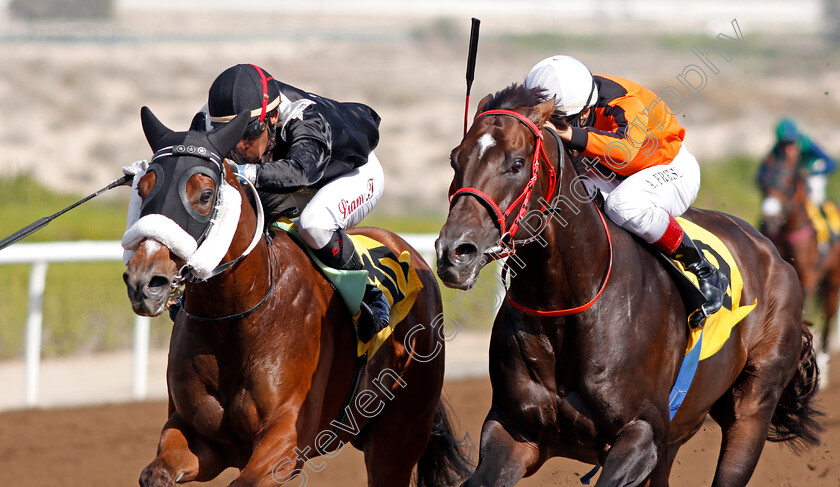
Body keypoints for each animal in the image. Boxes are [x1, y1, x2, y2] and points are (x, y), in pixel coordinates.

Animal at [123, 107, 472, 487]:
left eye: (204, 194)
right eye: (143, 188)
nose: (145, 281)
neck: (236, 314)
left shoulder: (286, 439)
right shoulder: (198, 437)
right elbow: (155, 473)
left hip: (399, 436)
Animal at [434, 86, 820, 486]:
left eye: (517, 163)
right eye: (455, 160)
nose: (455, 252)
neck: (565, 303)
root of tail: (774, 254)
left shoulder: (642, 433)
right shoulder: (514, 431)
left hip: (752, 407)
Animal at [756, 147, 840, 356]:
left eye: (788, 182)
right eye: (763, 182)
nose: (770, 218)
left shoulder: (809, 276)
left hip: (833, 281)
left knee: (829, 316)